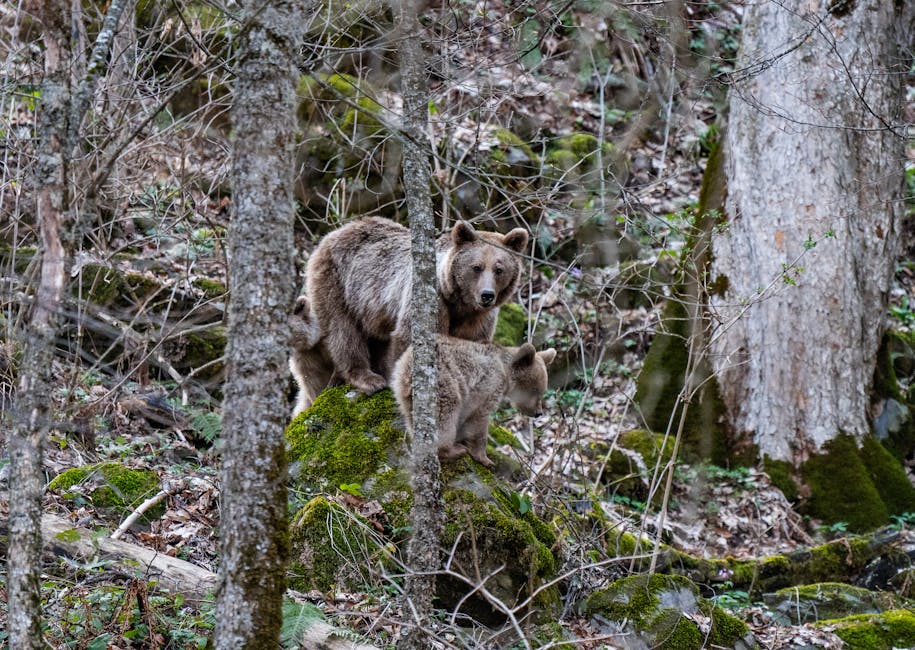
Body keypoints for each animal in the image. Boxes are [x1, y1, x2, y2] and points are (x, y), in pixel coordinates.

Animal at [305, 216, 529, 395]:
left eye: (499, 269)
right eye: (476, 267)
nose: (487, 295)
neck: (459, 303)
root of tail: (335, 232)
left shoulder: (478, 318)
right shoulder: (431, 301)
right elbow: (409, 339)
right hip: (338, 283)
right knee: (343, 330)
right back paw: (369, 378)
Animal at [391, 336, 556, 467]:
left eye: (542, 391)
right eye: (535, 390)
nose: (538, 412)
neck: (505, 373)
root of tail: (408, 367)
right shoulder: (487, 386)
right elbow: (478, 421)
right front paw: (485, 459)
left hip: (403, 390)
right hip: (445, 382)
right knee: (446, 414)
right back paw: (453, 450)